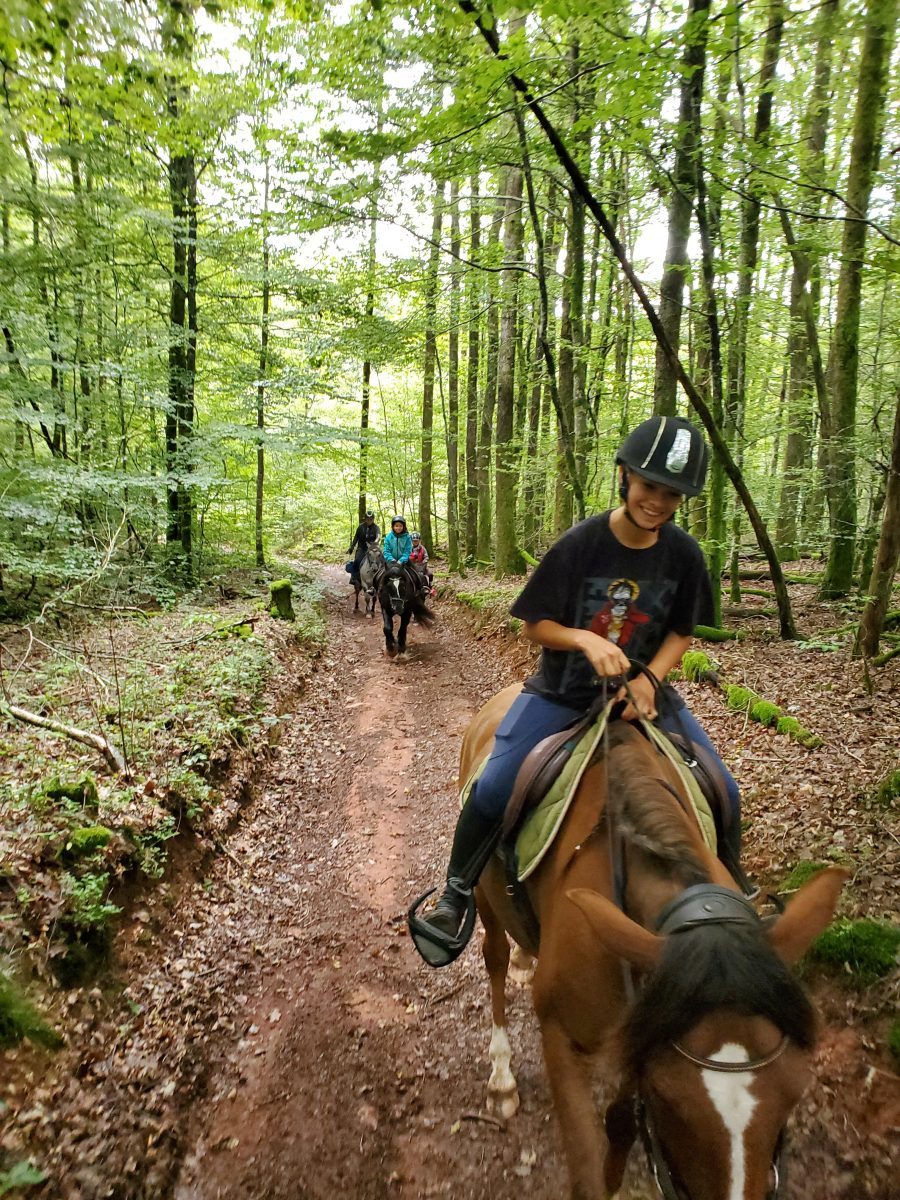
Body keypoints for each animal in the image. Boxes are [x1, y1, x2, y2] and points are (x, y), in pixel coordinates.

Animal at [460, 686, 849, 1200]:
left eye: (794, 1091)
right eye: (670, 1098)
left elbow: (622, 1121)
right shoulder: (561, 1034)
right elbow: (587, 1168)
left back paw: (528, 956)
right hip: (485, 892)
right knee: (496, 960)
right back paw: (502, 1076)